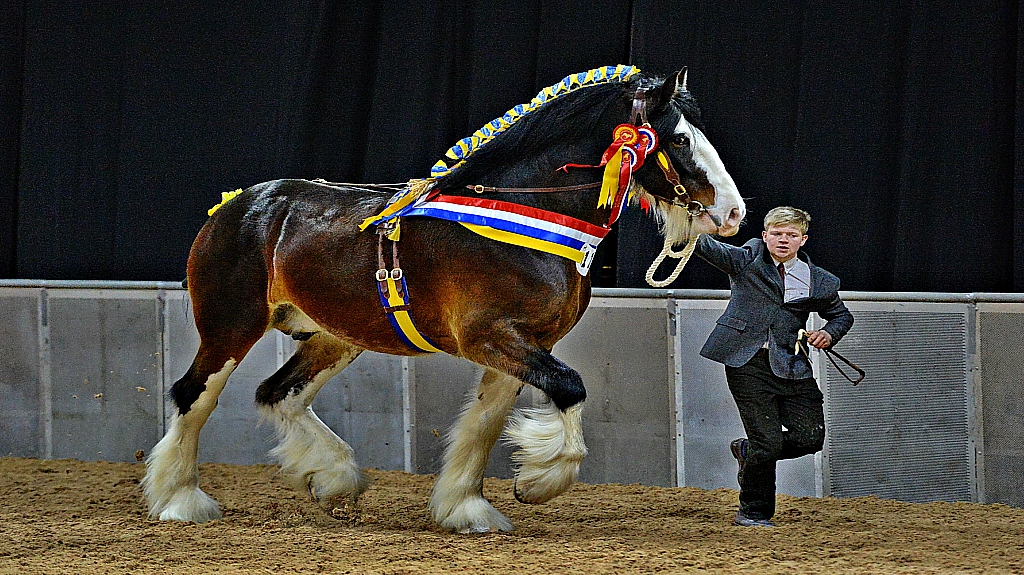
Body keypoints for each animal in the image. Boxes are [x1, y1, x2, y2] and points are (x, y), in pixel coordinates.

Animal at [142, 64, 745, 532]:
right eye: (679, 139)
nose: (734, 213)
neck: (523, 217)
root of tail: (236, 204)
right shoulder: (488, 336)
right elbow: (570, 388)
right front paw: (539, 482)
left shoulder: (524, 345)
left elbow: (483, 425)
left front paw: (467, 508)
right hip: (230, 327)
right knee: (194, 395)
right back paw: (179, 500)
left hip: (335, 336)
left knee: (279, 394)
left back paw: (334, 478)